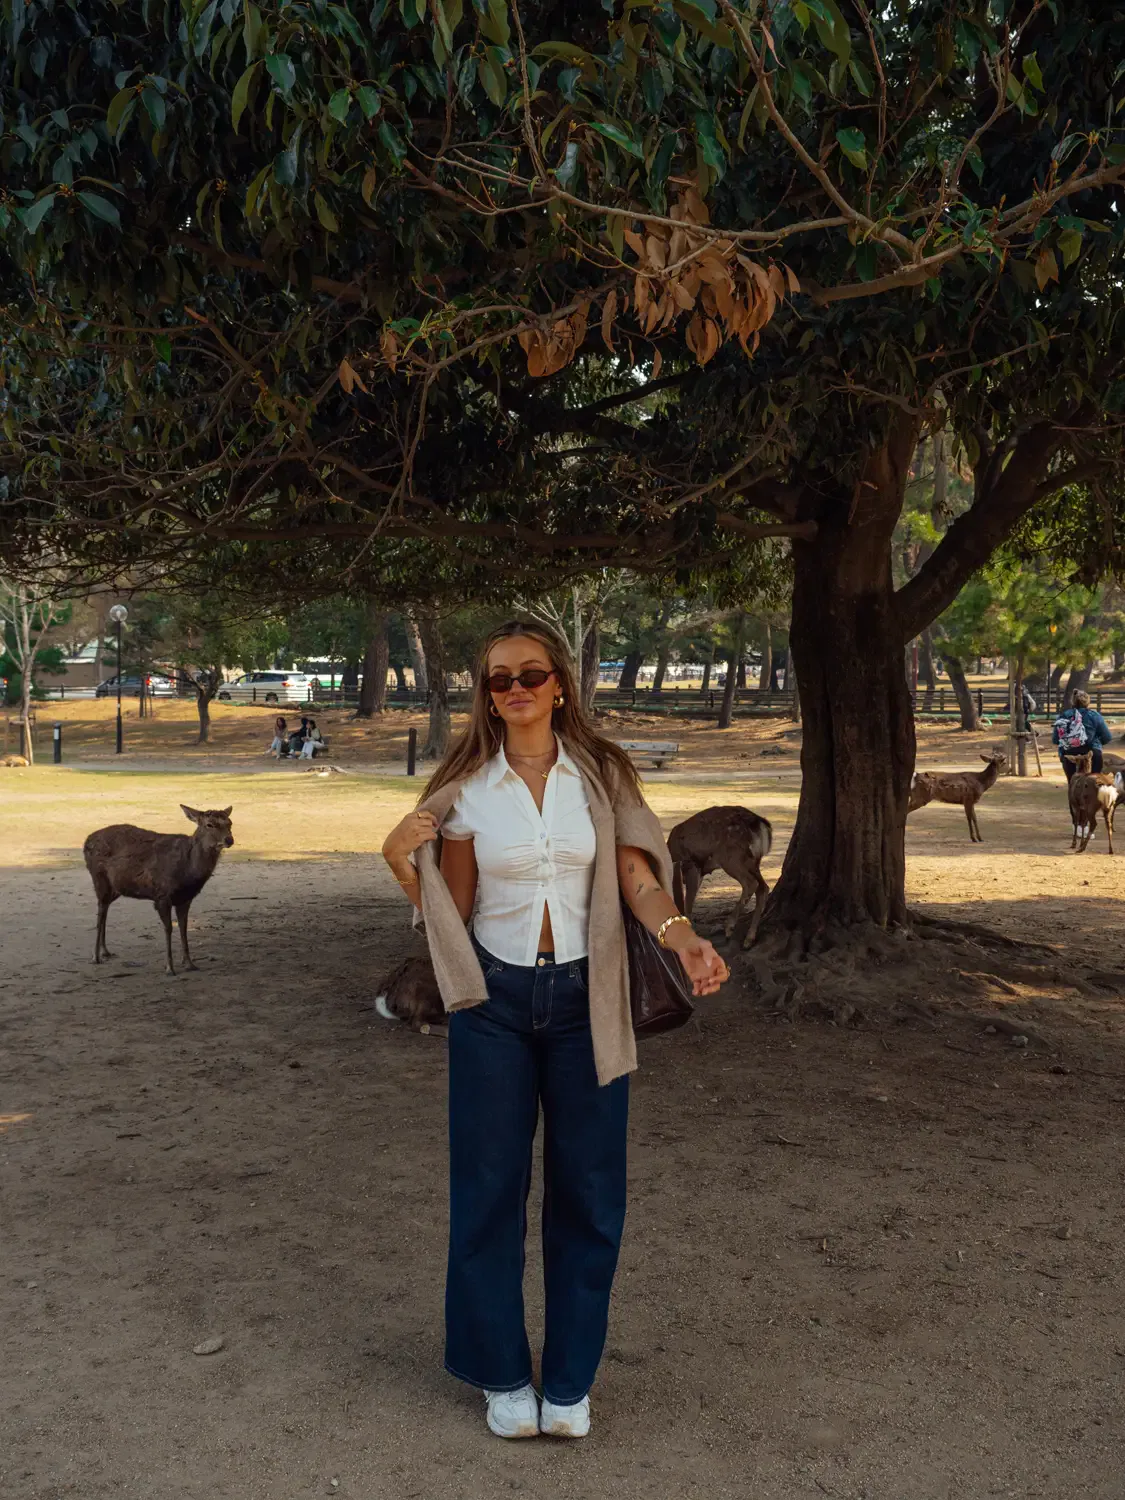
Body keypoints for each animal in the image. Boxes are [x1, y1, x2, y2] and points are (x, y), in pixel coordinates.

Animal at [83, 806, 234, 975]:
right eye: (209, 824)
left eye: (230, 823)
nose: (229, 840)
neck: (188, 872)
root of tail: (86, 840)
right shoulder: (162, 895)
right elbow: (168, 928)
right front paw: (169, 968)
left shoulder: (186, 898)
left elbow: (183, 928)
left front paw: (189, 963)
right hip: (98, 878)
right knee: (100, 911)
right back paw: (95, 956)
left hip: (116, 888)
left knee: (105, 909)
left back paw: (105, 951)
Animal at [666, 806, 773, 949]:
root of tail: (761, 824)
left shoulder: (692, 864)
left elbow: (688, 902)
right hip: (754, 861)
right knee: (763, 888)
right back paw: (748, 940)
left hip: (731, 857)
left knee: (751, 883)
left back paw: (729, 928)